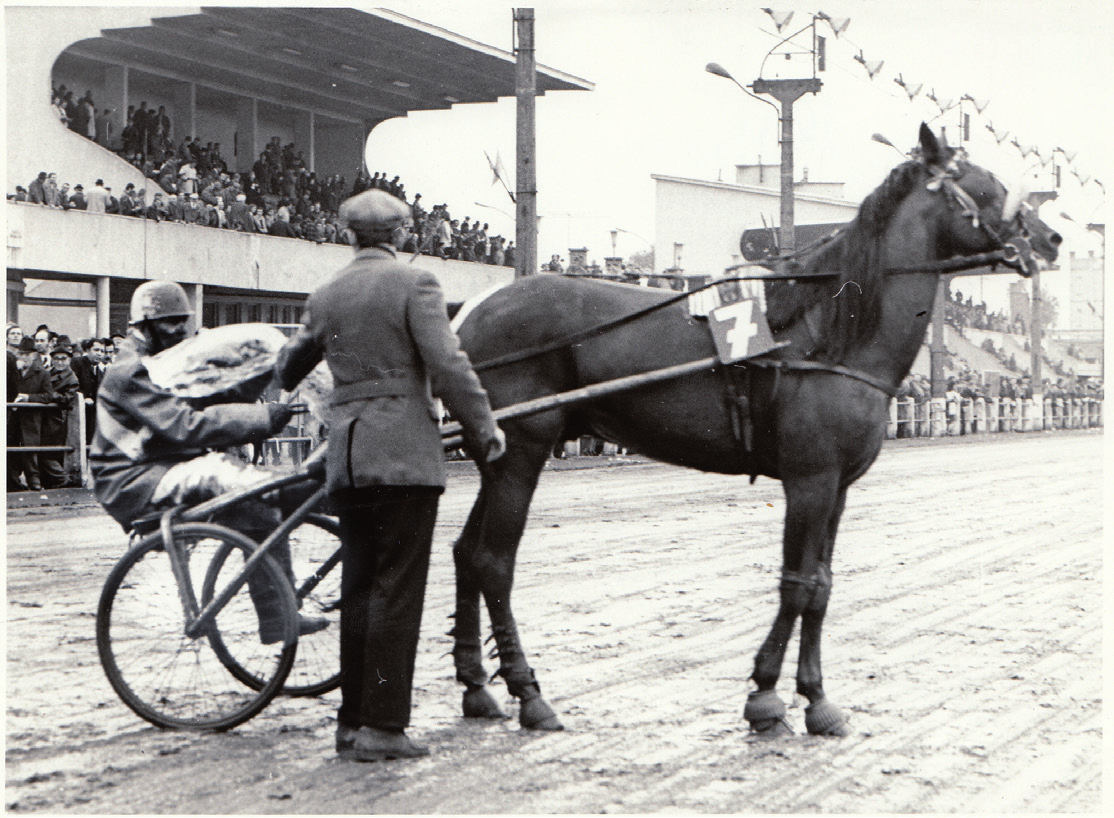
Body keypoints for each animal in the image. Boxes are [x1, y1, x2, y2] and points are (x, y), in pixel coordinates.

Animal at [445, 124, 1060, 739]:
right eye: (986, 187)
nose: (1051, 238)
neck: (823, 330)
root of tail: (470, 311)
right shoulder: (809, 480)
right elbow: (797, 582)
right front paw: (767, 695)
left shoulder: (836, 487)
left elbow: (821, 585)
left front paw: (816, 697)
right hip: (521, 454)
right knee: (494, 562)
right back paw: (528, 694)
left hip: (496, 457)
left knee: (466, 553)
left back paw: (477, 687)